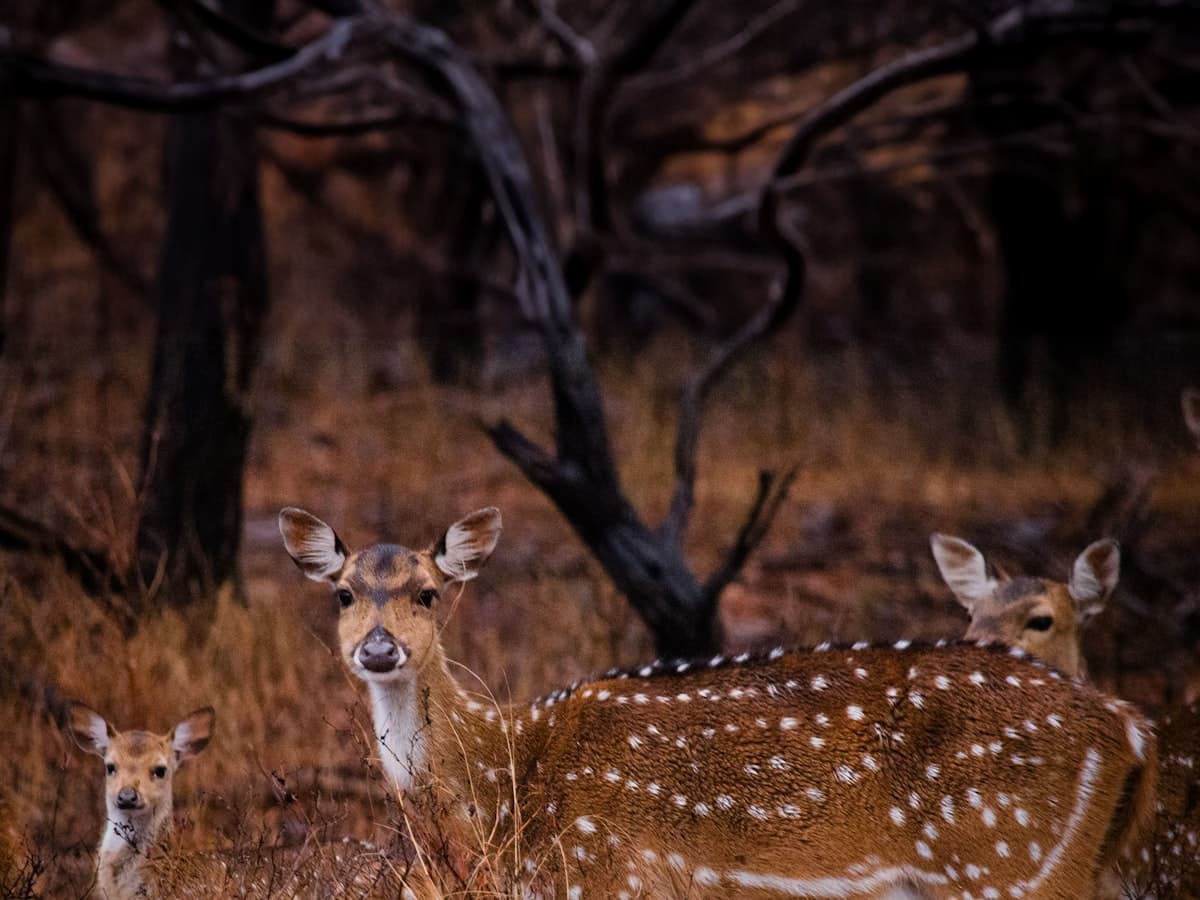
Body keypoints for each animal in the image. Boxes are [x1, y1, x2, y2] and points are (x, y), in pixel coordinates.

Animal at [280, 505, 1158, 899]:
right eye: (343, 593)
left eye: (429, 593)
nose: (379, 649)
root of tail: (1132, 729)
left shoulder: (611, 877)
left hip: (1009, 863)